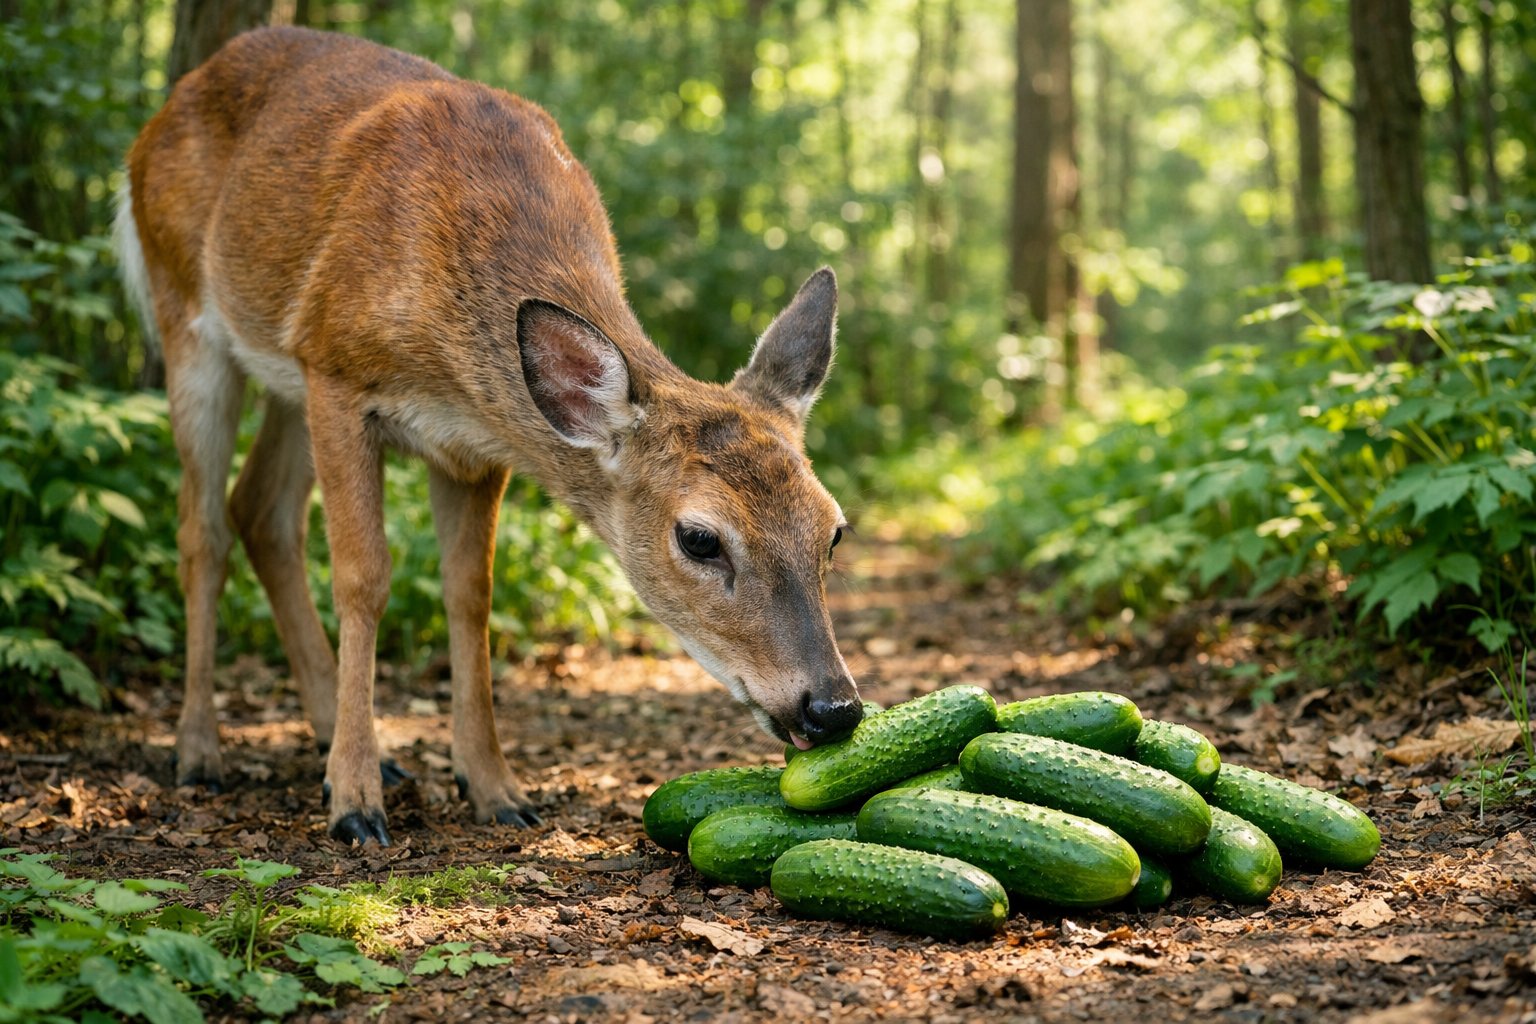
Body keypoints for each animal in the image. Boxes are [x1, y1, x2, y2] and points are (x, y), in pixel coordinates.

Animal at [115, 26, 863, 847]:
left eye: (833, 530)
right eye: (699, 538)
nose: (833, 708)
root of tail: (162, 113)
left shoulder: (476, 446)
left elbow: (470, 595)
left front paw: (496, 787)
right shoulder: (336, 370)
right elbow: (363, 578)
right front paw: (354, 804)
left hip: (283, 375)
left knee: (261, 510)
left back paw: (349, 748)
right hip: (187, 312)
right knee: (203, 528)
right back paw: (200, 752)